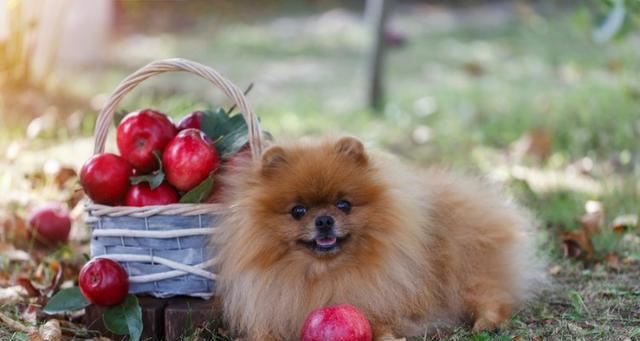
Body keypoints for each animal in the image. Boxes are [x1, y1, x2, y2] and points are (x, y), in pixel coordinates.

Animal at [212, 136, 544, 340]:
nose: (324, 220)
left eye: (344, 204)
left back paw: (485, 323)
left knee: (493, 296)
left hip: (467, 271)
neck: (324, 275)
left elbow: (379, 321)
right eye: (298, 211)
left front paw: (386, 335)